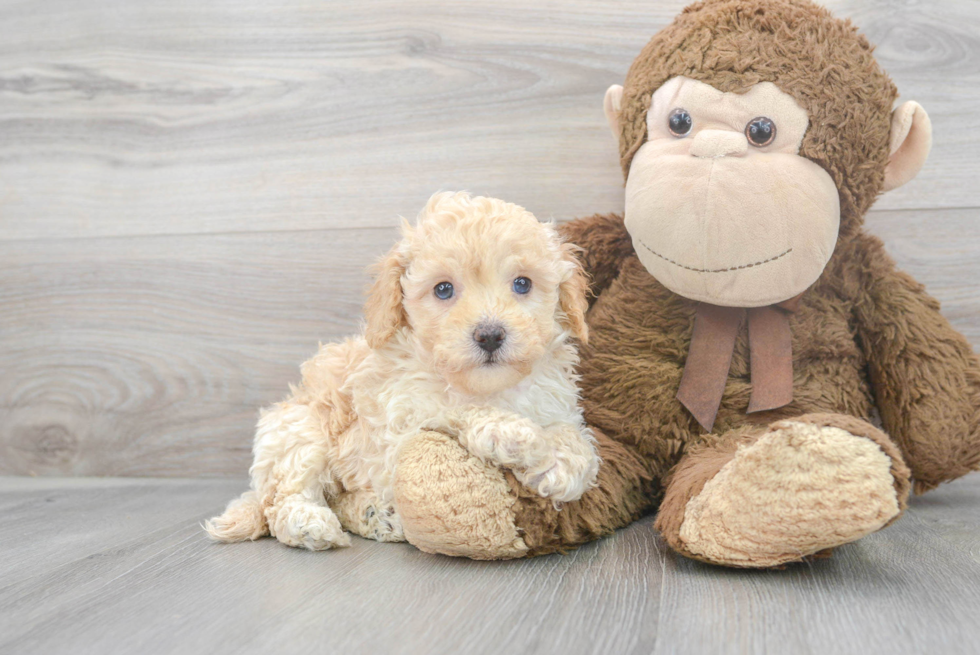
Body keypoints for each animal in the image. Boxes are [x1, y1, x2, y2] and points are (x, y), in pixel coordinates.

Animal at [209, 192, 596, 552]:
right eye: (443, 289)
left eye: (522, 284)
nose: (489, 335)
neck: (488, 388)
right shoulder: (396, 431)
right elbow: (451, 409)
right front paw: (513, 434)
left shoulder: (556, 403)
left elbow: (576, 438)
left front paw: (563, 463)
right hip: (299, 433)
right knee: (282, 499)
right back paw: (311, 523)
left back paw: (378, 516)